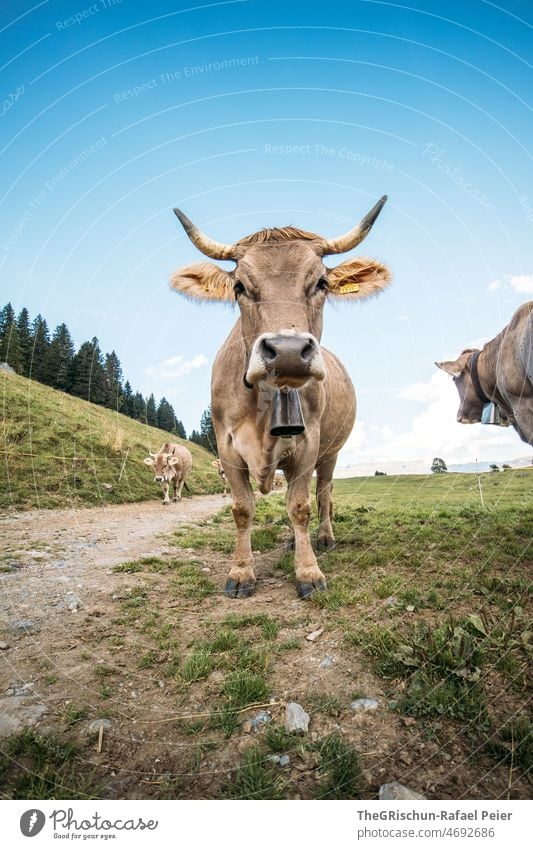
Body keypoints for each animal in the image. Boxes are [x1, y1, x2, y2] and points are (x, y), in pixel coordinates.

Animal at [170, 197, 390, 596]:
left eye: (321, 282)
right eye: (240, 286)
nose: (287, 352)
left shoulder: (309, 443)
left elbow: (301, 506)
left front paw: (308, 572)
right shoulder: (226, 448)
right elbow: (242, 508)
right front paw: (241, 571)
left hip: (331, 452)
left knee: (324, 493)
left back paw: (324, 537)